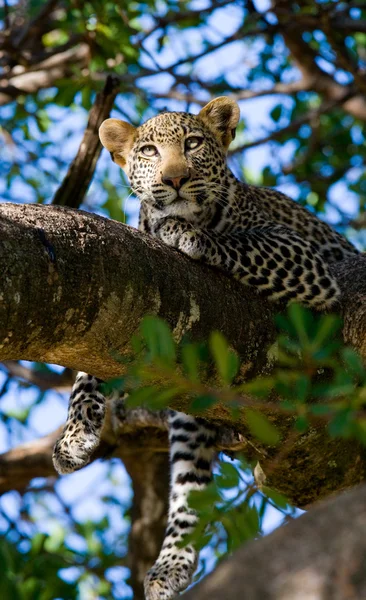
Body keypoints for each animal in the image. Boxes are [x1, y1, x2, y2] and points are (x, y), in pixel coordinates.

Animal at [53, 96, 358, 596]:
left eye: (193, 144)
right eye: (150, 151)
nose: (175, 179)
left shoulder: (306, 261)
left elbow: (242, 244)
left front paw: (189, 234)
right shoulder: (123, 296)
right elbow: (86, 370)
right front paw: (74, 435)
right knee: (189, 486)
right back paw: (169, 566)